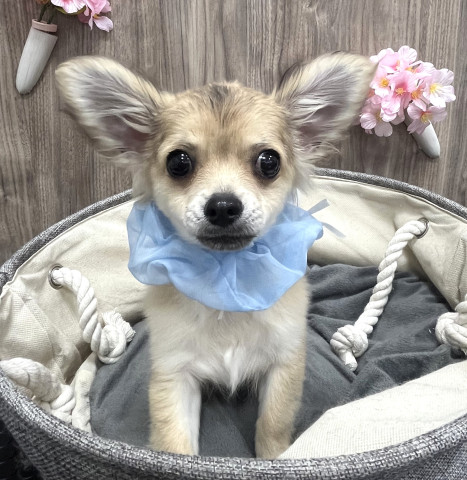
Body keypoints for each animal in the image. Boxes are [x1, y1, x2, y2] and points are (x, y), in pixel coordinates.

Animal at [56, 52, 375, 458]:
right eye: (178, 162)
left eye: (269, 161)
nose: (223, 206)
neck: (227, 276)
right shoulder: (174, 373)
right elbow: (175, 442)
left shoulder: (283, 364)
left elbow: (273, 425)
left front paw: (274, 457)